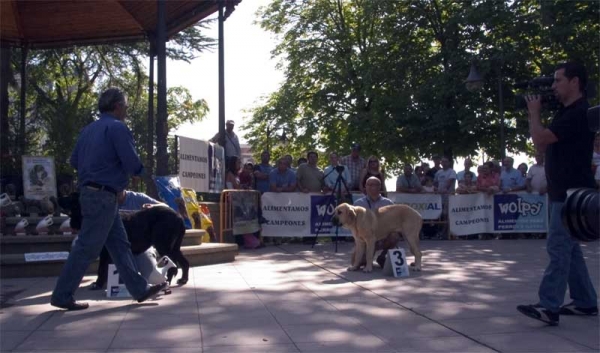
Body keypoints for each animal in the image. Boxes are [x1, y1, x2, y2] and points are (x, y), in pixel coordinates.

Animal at [59, 192, 189, 286]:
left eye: (71, 198)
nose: (58, 198)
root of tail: (178, 217)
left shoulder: (105, 252)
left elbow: (101, 268)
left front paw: (99, 283)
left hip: (163, 246)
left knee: (173, 265)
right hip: (174, 247)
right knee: (184, 262)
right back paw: (183, 279)